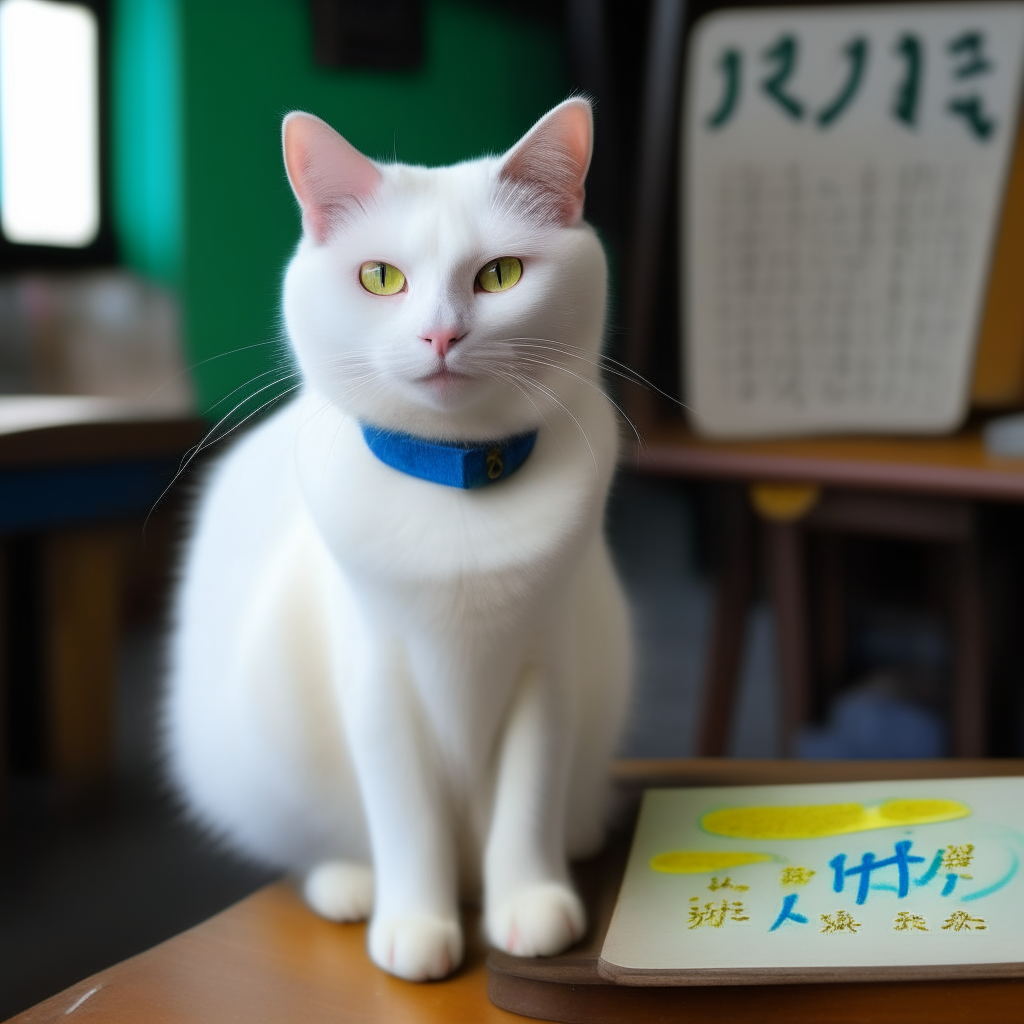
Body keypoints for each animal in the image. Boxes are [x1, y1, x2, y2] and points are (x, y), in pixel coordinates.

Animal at [164, 99, 630, 978]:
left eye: (500, 275)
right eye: (381, 277)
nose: (440, 336)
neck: (455, 482)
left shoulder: (548, 666)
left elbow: (528, 799)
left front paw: (529, 903)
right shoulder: (378, 680)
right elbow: (407, 815)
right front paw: (416, 923)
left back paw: (579, 833)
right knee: (321, 839)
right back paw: (348, 884)